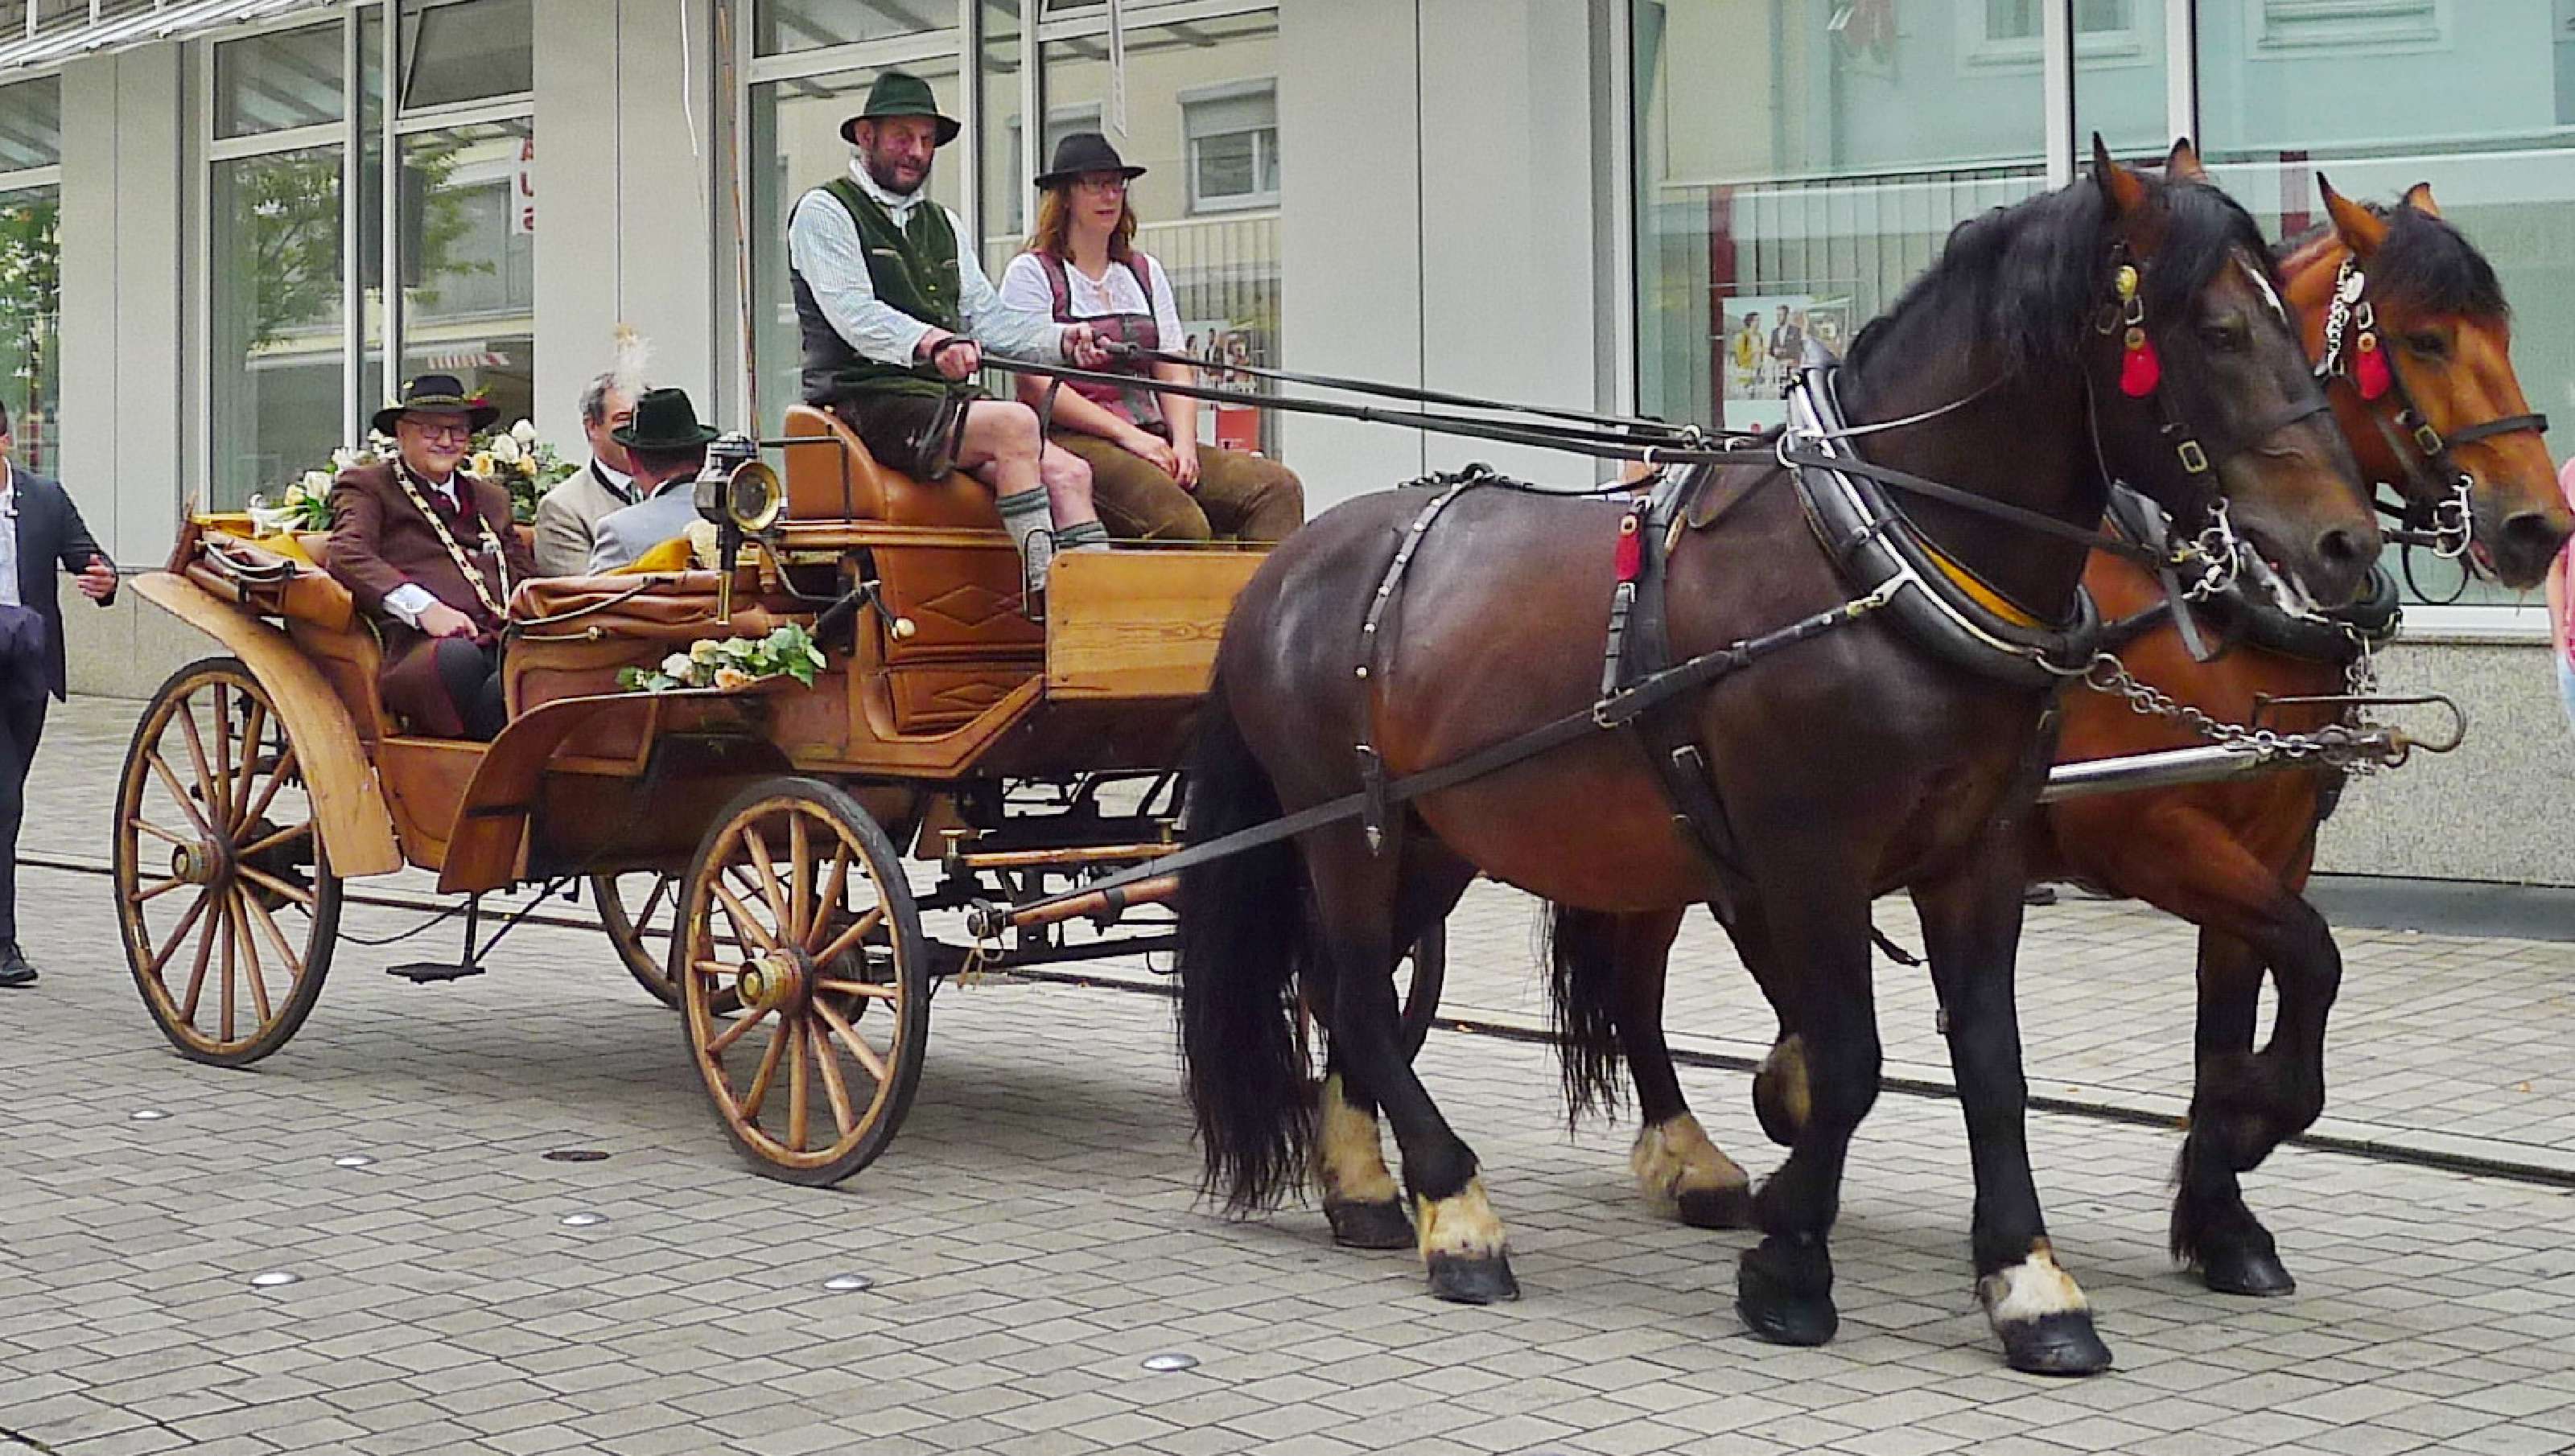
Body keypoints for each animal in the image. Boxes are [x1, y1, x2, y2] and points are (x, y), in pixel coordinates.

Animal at [1176, 142, 2380, 1376]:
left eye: (2295, 328)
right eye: (2217, 329)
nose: (2346, 545)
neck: (1878, 559)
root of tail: (1285, 568)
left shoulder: (1981, 852)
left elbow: (1991, 1063)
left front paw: (2032, 1282)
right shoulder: (1813, 856)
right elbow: (1847, 1059)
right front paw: (1790, 1260)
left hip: (1438, 832)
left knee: (1346, 984)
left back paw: (1368, 1185)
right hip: (1345, 825)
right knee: (1365, 993)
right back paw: (1457, 1212)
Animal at [1553, 158, 2572, 1309]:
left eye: (2497, 328)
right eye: (2421, 338)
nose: (2538, 525)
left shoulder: (2271, 839)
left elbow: (2244, 1006)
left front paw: (2222, 1211)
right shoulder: (2147, 833)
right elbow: (2313, 959)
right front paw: (2248, 1124)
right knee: (1635, 970)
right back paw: (1693, 1150)